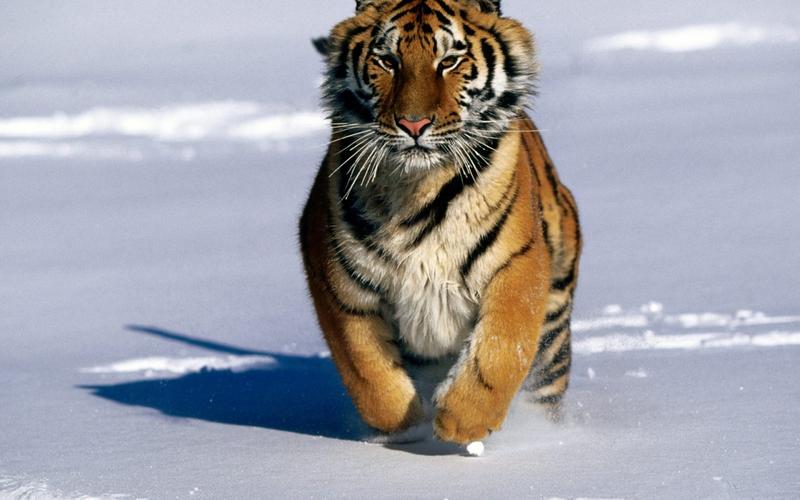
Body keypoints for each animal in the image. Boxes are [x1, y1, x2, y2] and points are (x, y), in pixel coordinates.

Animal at [299, 0, 581, 445]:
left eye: (449, 61)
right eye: (388, 60)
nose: (413, 124)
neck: (416, 187)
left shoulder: (518, 263)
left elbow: (502, 346)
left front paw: (462, 421)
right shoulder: (337, 280)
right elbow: (366, 369)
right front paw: (406, 426)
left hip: (553, 327)